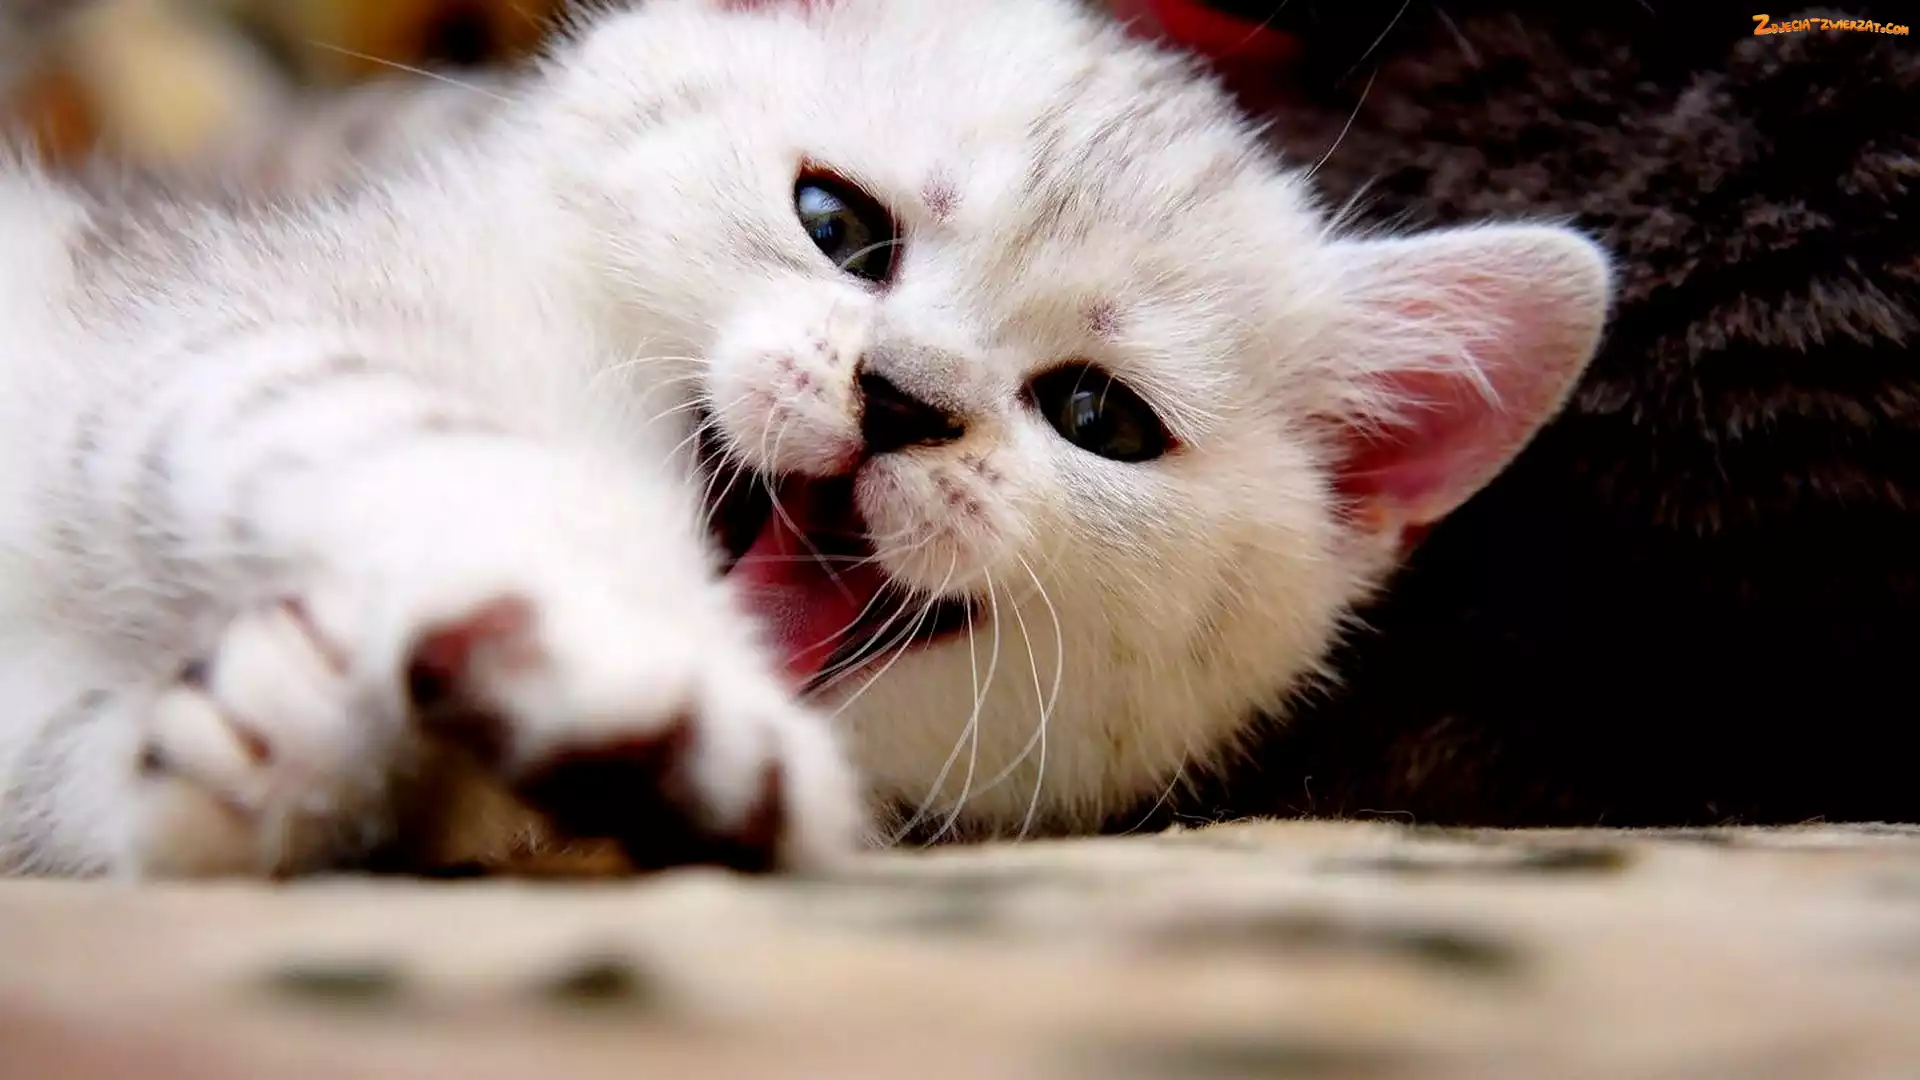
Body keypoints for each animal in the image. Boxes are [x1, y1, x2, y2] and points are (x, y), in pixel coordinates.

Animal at [0, 0, 1611, 878]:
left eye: (1099, 416)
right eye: (837, 223)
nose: (902, 397)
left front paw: (272, 739)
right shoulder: (203, 335)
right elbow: (446, 455)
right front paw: (643, 672)